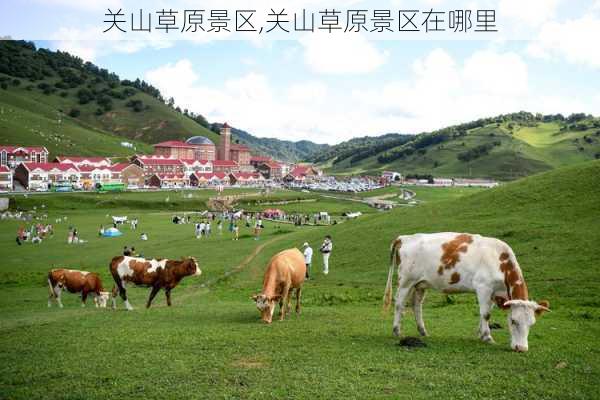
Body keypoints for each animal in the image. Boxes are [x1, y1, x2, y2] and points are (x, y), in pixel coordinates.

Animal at [384, 233, 548, 352]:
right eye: (513, 321)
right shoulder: (483, 287)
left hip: (420, 284)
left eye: (532, 323)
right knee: (399, 303)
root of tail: (404, 237)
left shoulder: (494, 294)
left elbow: (485, 313)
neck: (500, 261)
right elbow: (485, 314)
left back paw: (423, 331)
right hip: (406, 281)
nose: (521, 348)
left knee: (416, 305)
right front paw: (487, 337)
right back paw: (397, 331)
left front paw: (480, 333)